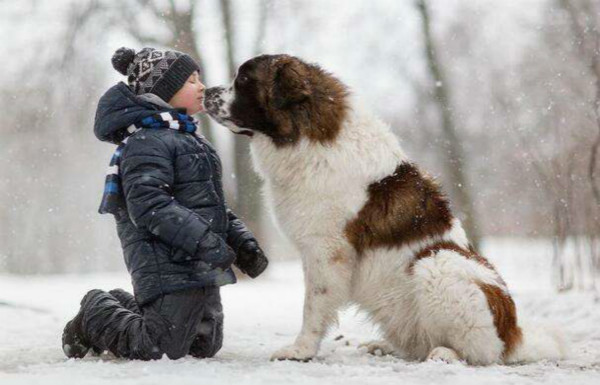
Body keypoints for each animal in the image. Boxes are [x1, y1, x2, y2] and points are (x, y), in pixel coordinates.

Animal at [204, 53, 564, 364]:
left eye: (244, 79)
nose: (207, 91)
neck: (307, 138)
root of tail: (515, 335)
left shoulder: (326, 250)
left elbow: (313, 305)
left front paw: (301, 349)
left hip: (439, 263)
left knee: (483, 352)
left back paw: (447, 354)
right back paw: (386, 347)